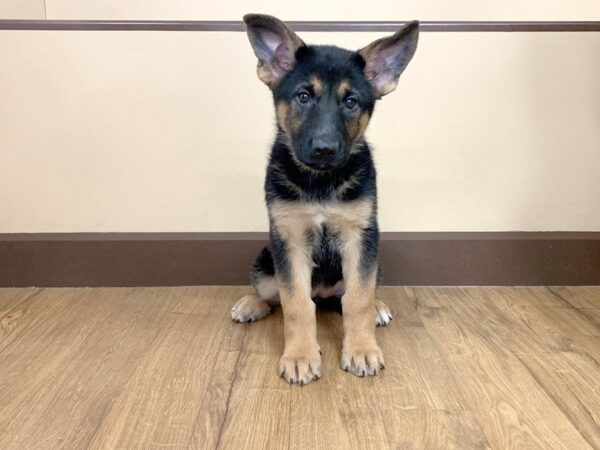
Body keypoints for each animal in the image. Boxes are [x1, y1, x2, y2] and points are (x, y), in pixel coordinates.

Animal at [232, 14, 420, 386]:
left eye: (351, 102)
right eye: (304, 96)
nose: (324, 149)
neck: (320, 181)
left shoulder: (360, 237)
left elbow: (358, 299)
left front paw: (361, 350)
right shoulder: (289, 239)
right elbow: (295, 303)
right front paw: (300, 356)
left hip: (375, 261)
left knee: (353, 295)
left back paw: (377, 307)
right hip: (265, 258)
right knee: (272, 295)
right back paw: (251, 303)